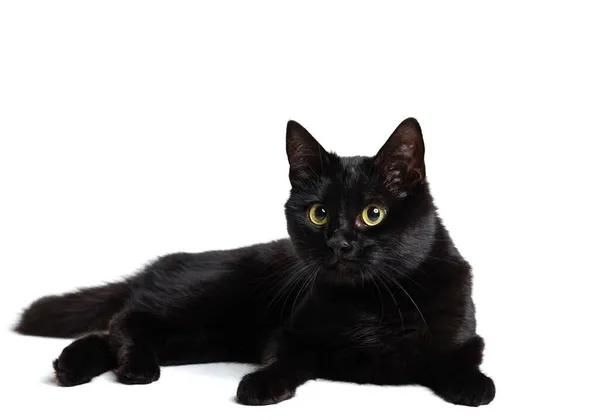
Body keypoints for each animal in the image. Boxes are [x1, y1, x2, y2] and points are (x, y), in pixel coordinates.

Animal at [15, 118, 496, 406]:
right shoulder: (290, 333)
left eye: (373, 213)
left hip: (199, 339)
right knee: (125, 319)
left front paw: (474, 386)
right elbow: (290, 357)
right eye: (318, 213)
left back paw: (72, 367)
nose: (339, 243)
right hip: (197, 304)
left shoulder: (466, 337)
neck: (372, 304)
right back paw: (128, 368)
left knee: (112, 331)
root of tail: (155, 267)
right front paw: (261, 384)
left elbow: (463, 360)